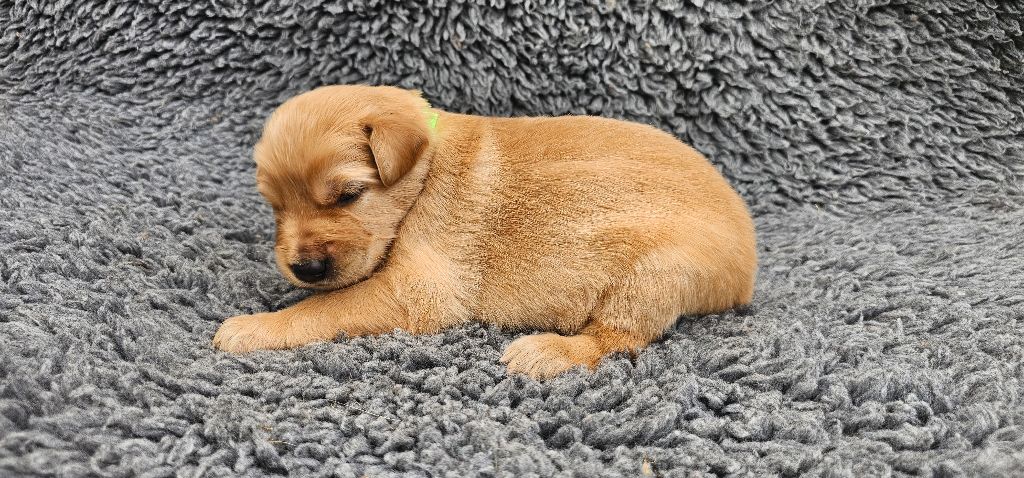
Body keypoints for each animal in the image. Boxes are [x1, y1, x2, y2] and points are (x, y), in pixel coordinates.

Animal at [213, 85, 757, 380]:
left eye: (348, 195)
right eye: (273, 205)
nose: (303, 268)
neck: (424, 169)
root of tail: (746, 272)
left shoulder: (418, 291)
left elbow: (322, 308)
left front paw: (254, 325)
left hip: (655, 273)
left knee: (619, 339)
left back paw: (547, 351)